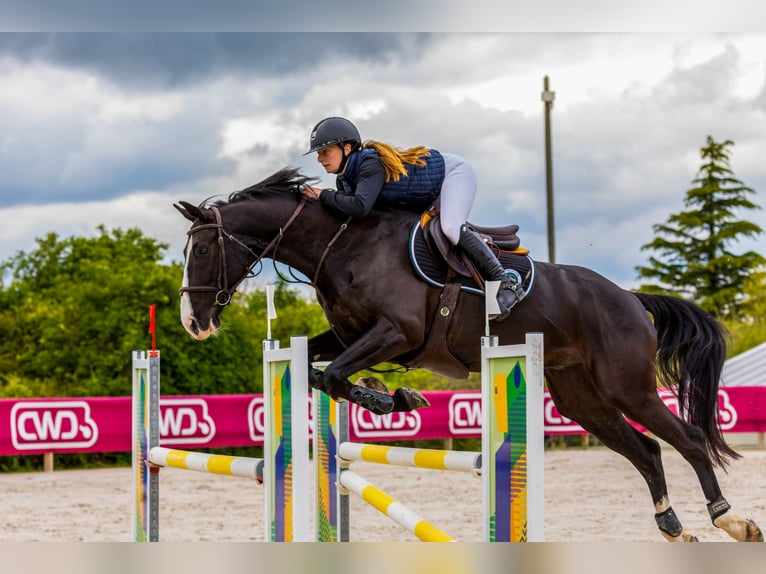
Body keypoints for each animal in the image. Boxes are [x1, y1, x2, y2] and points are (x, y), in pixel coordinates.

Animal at [176, 168, 760, 544]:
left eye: (201, 249)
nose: (193, 322)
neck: (342, 243)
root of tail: (630, 298)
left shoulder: (397, 332)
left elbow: (336, 376)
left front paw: (394, 399)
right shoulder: (348, 335)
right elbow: (323, 375)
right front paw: (393, 396)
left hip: (627, 387)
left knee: (686, 440)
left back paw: (729, 520)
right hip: (580, 399)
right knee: (647, 451)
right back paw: (672, 525)